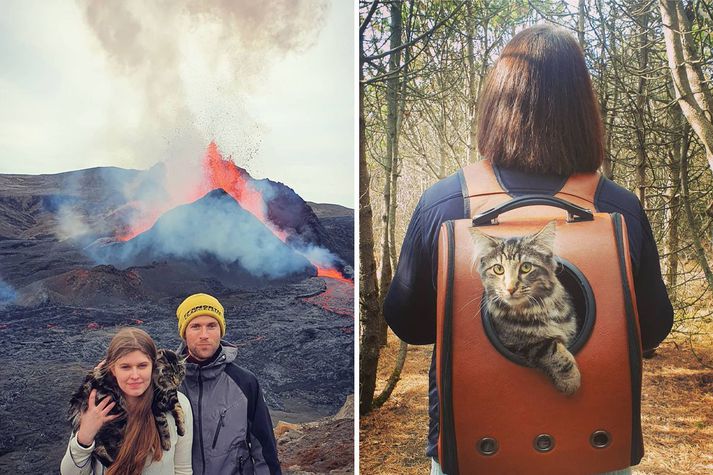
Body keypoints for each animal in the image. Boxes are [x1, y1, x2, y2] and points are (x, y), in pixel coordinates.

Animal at [470, 221, 580, 396]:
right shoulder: (521, 344)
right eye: (498, 269)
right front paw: (570, 380)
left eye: (526, 267)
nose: (510, 288)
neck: (538, 309)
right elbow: (553, 349)